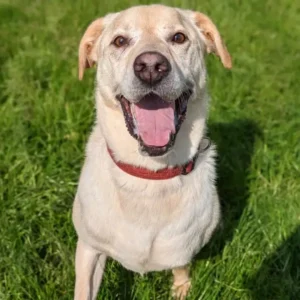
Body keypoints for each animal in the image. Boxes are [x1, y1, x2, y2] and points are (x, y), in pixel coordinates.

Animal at [73, 4, 232, 300]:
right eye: (120, 41)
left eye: (179, 37)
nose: (150, 66)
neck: (149, 174)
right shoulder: (89, 247)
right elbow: (84, 288)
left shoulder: (182, 250)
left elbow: (181, 268)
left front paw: (181, 287)